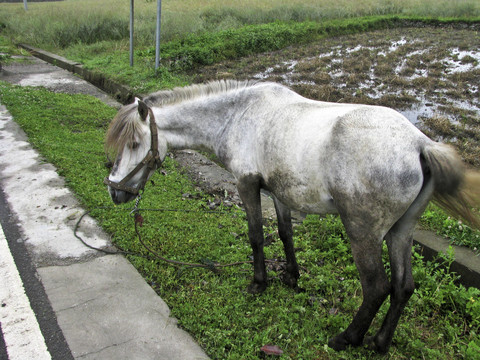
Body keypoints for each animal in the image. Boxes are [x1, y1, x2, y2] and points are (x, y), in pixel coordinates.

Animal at [103, 80, 478, 352]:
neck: (238, 115)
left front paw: (259, 282)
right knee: (403, 287)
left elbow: (256, 234)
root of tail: (420, 144)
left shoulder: (246, 184)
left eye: (134, 143)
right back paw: (380, 343)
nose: (115, 192)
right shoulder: (278, 192)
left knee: (376, 287)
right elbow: (285, 233)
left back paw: (347, 338)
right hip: (401, 231)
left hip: (363, 232)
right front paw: (291, 277)